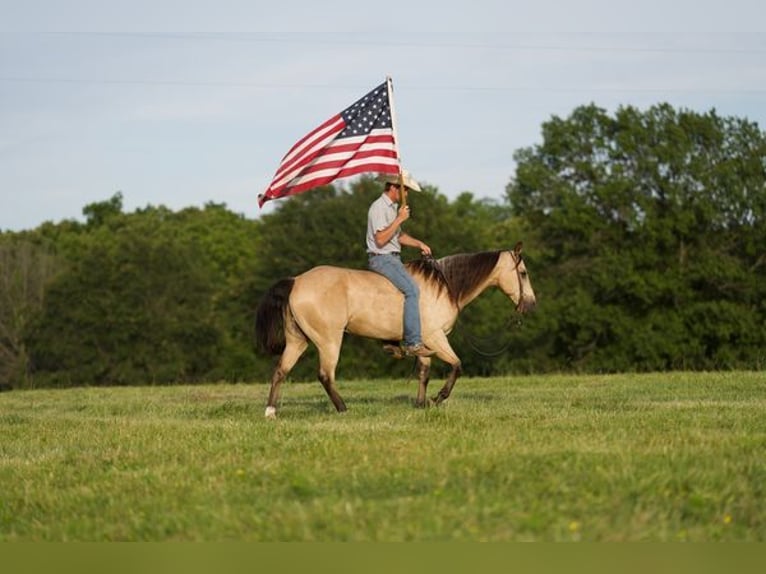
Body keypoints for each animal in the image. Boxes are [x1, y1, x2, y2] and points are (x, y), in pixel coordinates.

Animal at [255, 241, 536, 420]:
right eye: (523, 272)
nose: (531, 304)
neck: (445, 285)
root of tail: (296, 281)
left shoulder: (424, 344)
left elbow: (424, 372)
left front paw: (420, 405)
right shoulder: (436, 338)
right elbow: (457, 365)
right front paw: (437, 399)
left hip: (298, 341)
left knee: (280, 371)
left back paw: (270, 412)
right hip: (329, 340)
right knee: (325, 375)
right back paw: (343, 409)